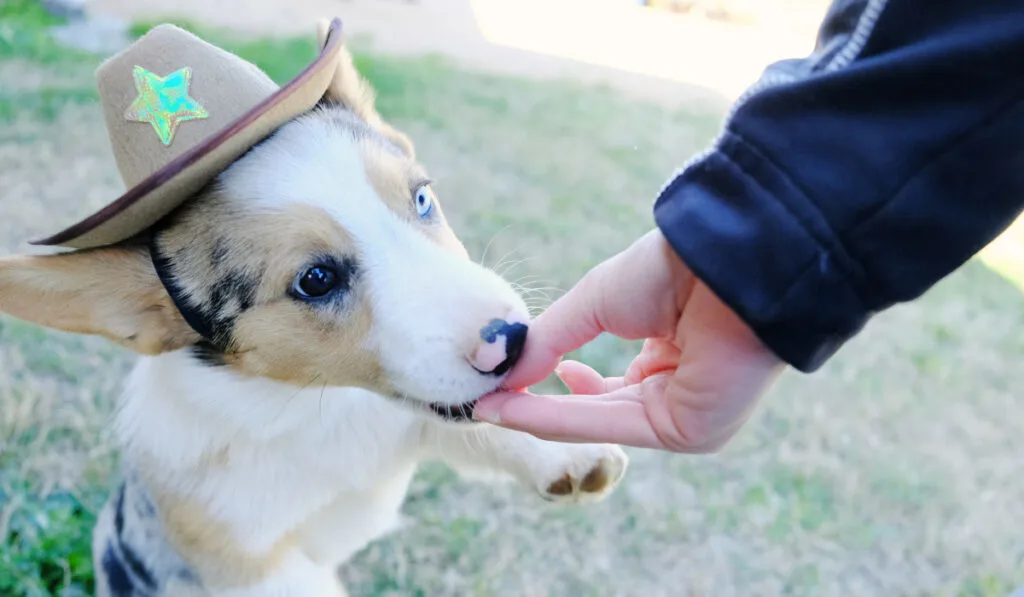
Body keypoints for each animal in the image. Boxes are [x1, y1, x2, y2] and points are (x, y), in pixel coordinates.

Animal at [0, 39, 626, 593]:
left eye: (423, 198)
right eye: (316, 280)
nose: (513, 340)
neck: (314, 406)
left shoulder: (415, 419)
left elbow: (483, 425)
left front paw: (569, 453)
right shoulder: (249, 563)